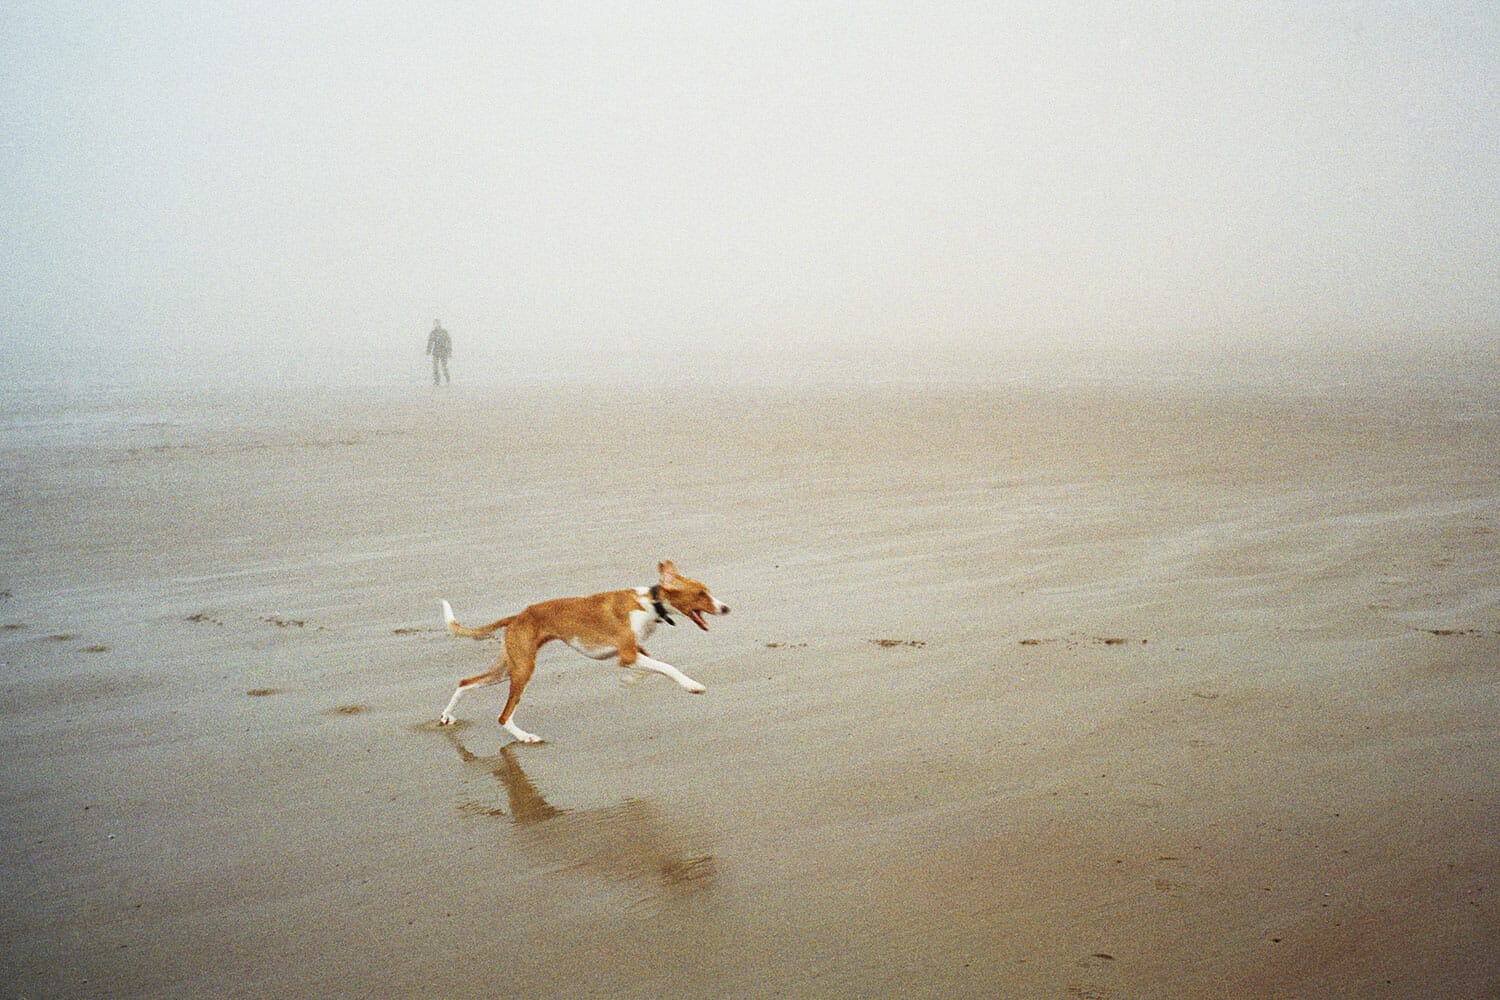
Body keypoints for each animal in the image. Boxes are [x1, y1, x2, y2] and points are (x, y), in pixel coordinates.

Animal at [438, 563, 729, 743]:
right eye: (701, 594)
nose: (726, 608)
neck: (650, 603)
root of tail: (517, 616)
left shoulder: (632, 651)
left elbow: (648, 668)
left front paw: (629, 680)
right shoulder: (628, 653)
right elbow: (667, 667)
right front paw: (692, 685)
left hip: (506, 668)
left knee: (465, 682)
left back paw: (446, 716)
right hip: (522, 669)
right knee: (503, 715)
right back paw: (524, 736)